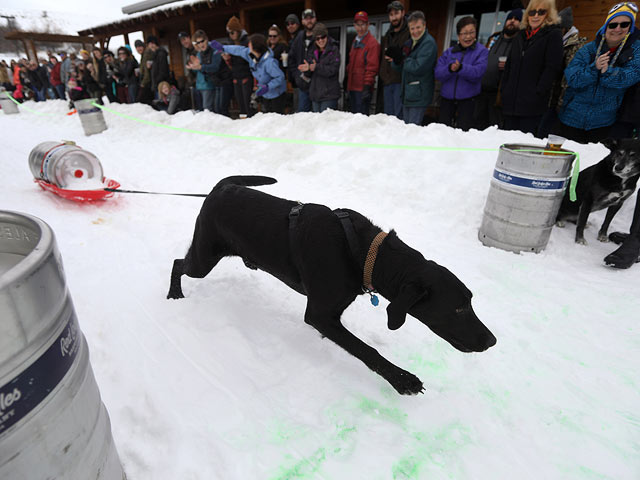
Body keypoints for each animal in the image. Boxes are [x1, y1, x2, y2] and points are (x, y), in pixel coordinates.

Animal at [168, 175, 498, 394]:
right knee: (177, 263)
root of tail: (219, 188)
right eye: (458, 309)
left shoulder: (330, 314)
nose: (492, 340)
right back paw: (174, 294)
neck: (365, 254)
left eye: (470, 302)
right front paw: (402, 379)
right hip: (203, 259)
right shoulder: (320, 315)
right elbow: (367, 350)